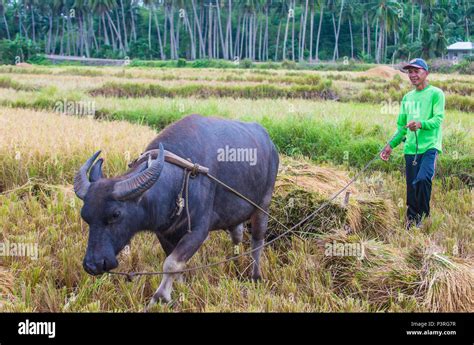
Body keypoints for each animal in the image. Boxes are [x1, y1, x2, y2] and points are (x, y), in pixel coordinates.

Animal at [74, 115, 280, 306]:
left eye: (115, 214)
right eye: (85, 216)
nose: (93, 265)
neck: (177, 181)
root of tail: (270, 143)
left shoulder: (198, 231)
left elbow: (171, 264)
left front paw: (159, 298)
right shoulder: (164, 233)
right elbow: (174, 263)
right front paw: (181, 291)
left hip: (262, 206)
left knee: (257, 242)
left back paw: (255, 276)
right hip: (234, 214)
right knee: (237, 235)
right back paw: (235, 264)